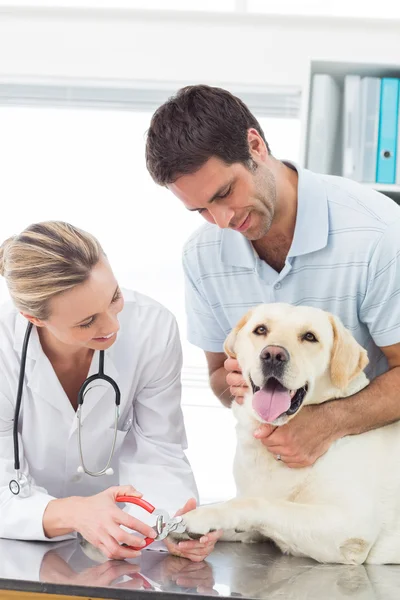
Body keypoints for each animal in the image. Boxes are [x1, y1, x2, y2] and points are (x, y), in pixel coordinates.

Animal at [177, 302, 400, 564]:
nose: (273, 355)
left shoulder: (351, 527)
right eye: (261, 329)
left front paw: (199, 517)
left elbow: (259, 504)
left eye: (310, 337)